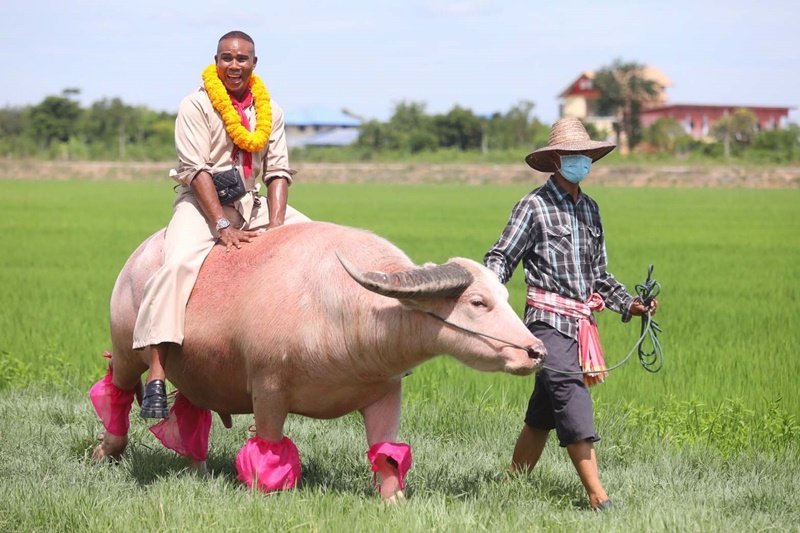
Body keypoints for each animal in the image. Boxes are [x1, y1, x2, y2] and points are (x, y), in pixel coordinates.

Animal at [92, 219, 544, 498]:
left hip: (200, 372)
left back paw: (196, 470)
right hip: (129, 349)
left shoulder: (386, 393)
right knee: (118, 390)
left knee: (190, 415)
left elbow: (387, 452)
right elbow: (269, 448)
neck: (350, 311)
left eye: (505, 296)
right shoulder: (269, 389)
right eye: (478, 302)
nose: (535, 351)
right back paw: (106, 452)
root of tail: (137, 258)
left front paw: (393, 499)